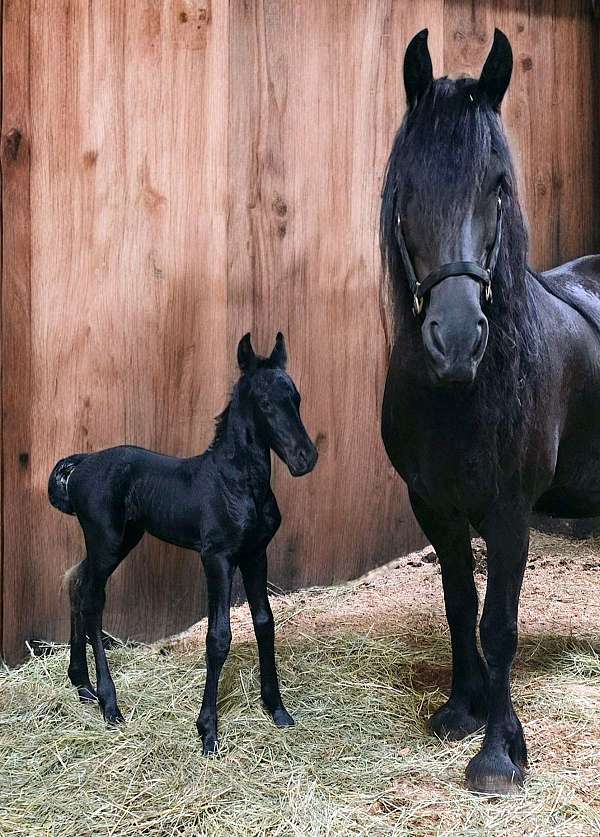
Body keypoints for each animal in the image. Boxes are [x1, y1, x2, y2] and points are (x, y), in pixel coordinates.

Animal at [50, 334, 318, 752]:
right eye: (264, 402)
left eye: (296, 397)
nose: (305, 458)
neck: (238, 483)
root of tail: (82, 463)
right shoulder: (217, 557)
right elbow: (219, 637)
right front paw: (207, 730)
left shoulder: (255, 554)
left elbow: (264, 622)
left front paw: (276, 709)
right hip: (106, 541)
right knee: (92, 600)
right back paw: (109, 704)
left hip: (121, 540)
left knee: (76, 583)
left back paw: (82, 685)